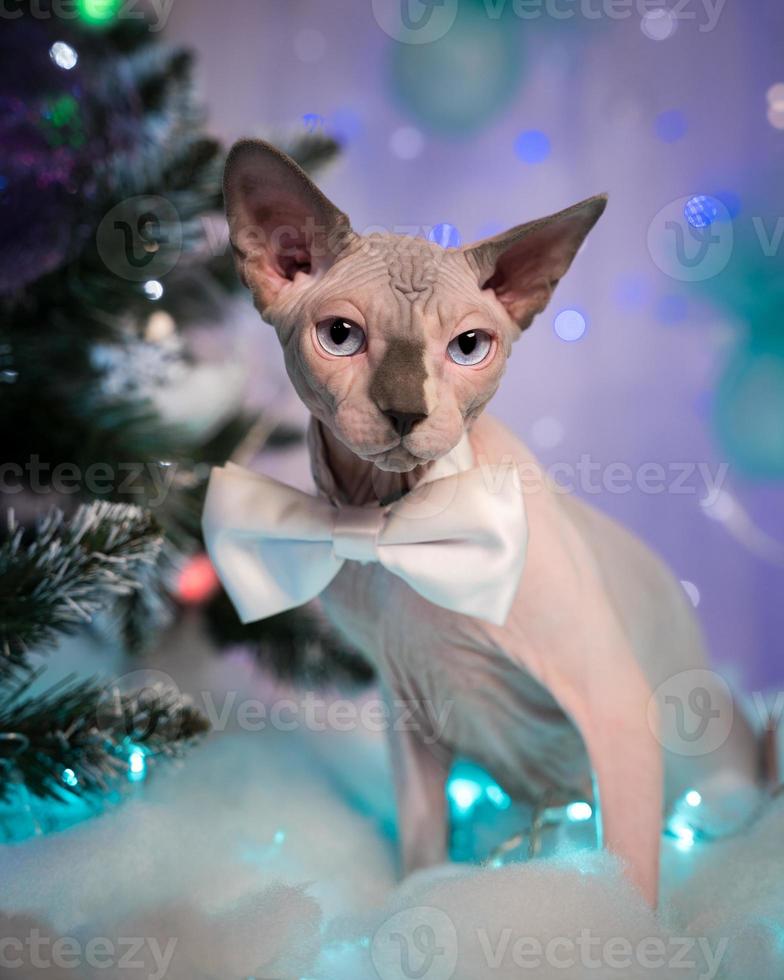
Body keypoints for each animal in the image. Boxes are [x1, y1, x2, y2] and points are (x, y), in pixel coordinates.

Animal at [213, 142, 760, 908]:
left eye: (469, 346)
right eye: (340, 337)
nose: (405, 411)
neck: (386, 522)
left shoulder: (617, 711)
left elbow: (628, 875)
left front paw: (630, 925)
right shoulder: (408, 708)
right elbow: (422, 853)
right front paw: (414, 902)